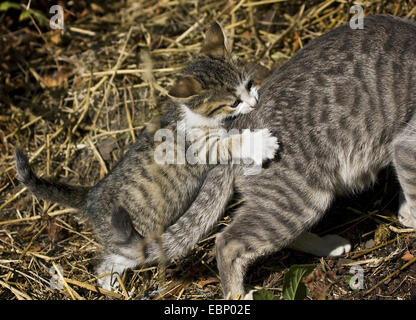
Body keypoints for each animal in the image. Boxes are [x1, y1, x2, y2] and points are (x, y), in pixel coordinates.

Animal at [15, 23, 280, 292]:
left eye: (249, 84)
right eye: (234, 102)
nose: (254, 102)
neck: (191, 114)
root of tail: (91, 196)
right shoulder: (201, 149)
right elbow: (229, 143)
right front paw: (260, 143)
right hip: (133, 236)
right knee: (109, 262)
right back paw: (111, 286)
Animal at [138, 15, 416, 300]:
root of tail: (238, 128)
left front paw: (405, 213)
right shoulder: (406, 145)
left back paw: (327, 246)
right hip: (301, 198)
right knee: (227, 242)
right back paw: (238, 294)